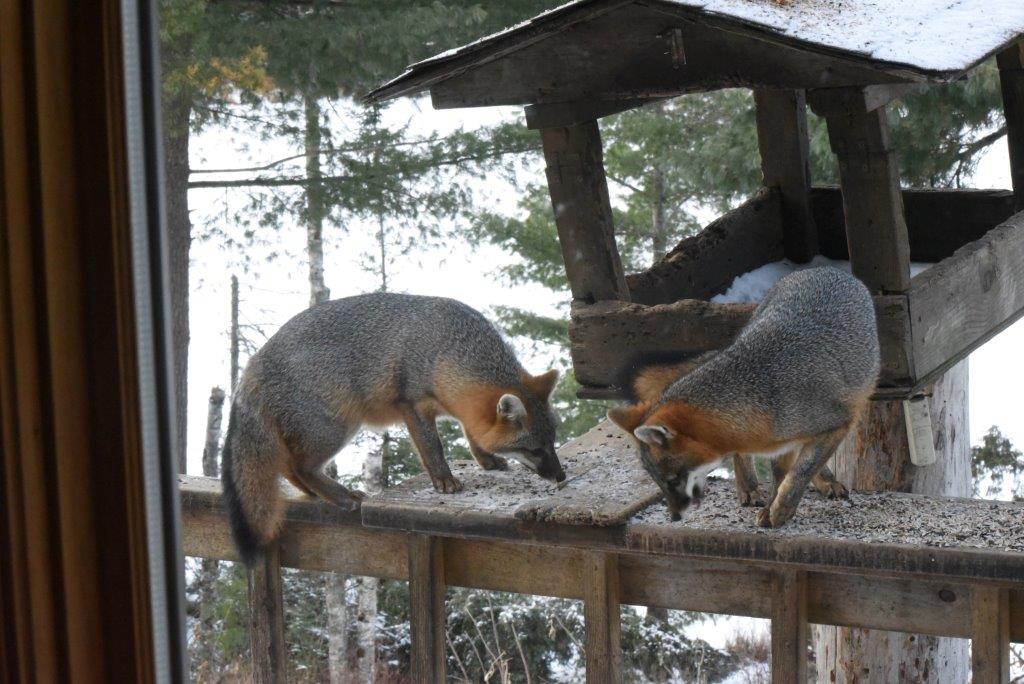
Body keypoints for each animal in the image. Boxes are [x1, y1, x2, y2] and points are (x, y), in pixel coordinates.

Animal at [222, 293, 566, 564]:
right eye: (535, 449)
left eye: (553, 442)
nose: (561, 477)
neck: (446, 350)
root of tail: (253, 364)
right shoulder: (412, 404)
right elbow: (432, 447)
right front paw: (444, 480)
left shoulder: (458, 408)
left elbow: (471, 432)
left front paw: (487, 460)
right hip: (339, 426)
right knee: (298, 467)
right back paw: (340, 495)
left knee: (290, 468)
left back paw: (319, 494)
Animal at [608, 267, 879, 528]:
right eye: (658, 481)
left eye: (673, 480)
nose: (674, 517)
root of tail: (823, 269)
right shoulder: (784, 442)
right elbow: (782, 474)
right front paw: (772, 508)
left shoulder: (839, 423)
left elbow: (800, 472)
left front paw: (781, 509)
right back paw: (748, 486)